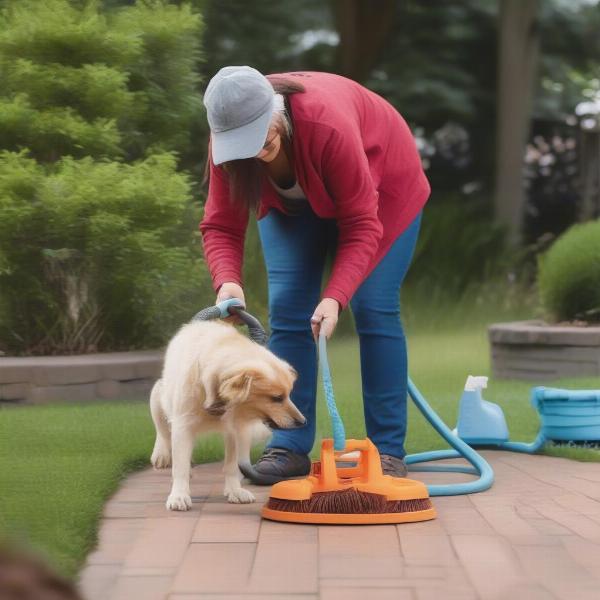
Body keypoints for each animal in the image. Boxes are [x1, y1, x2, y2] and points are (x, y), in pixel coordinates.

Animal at [150, 318, 304, 510]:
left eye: (289, 394)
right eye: (276, 398)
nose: (303, 422)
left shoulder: (238, 429)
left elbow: (231, 465)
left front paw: (235, 491)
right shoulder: (182, 424)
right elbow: (180, 467)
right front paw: (179, 496)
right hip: (158, 395)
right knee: (163, 432)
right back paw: (161, 454)